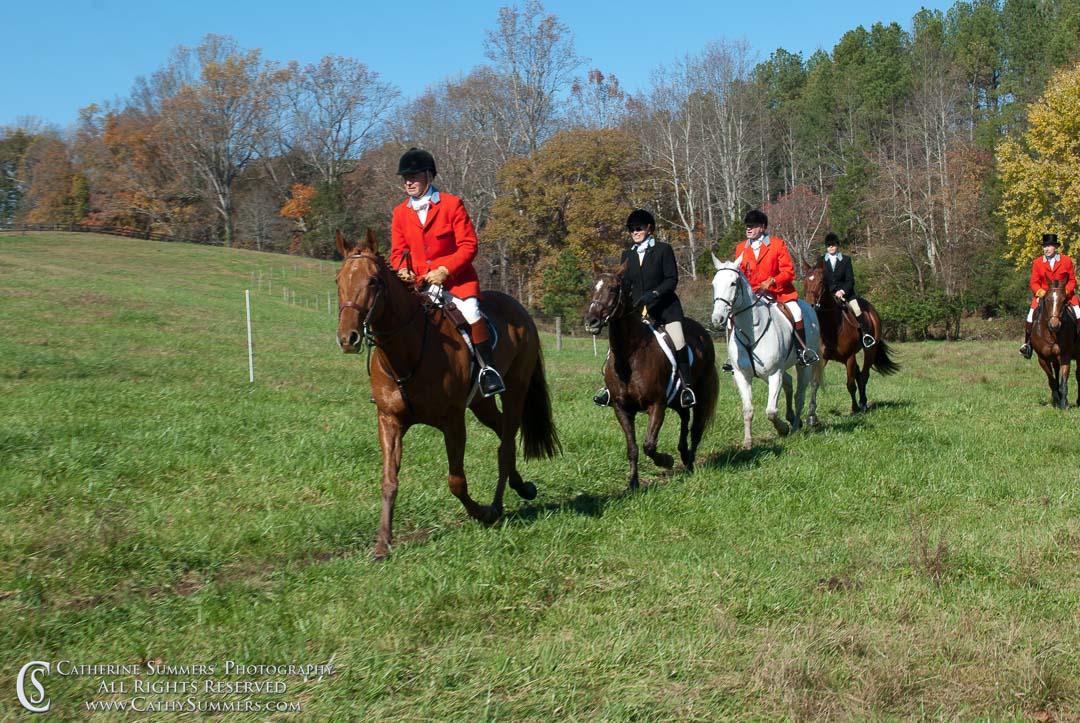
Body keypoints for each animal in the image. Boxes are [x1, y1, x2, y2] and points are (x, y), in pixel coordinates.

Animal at [334, 228, 557, 557]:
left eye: (373, 281)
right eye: (338, 279)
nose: (347, 338)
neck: (407, 349)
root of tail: (518, 308)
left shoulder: (453, 422)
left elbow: (456, 481)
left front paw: (482, 513)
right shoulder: (389, 421)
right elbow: (389, 481)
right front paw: (382, 543)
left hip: (515, 390)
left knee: (505, 446)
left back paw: (497, 505)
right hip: (480, 404)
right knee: (503, 430)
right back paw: (522, 486)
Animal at [583, 260, 717, 490]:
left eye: (613, 289)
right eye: (593, 287)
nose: (591, 322)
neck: (630, 355)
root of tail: (702, 332)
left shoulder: (657, 404)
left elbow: (649, 445)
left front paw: (666, 461)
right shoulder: (622, 408)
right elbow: (633, 448)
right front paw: (633, 484)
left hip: (701, 392)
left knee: (695, 428)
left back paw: (689, 463)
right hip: (676, 399)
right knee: (684, 416)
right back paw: (683, 454)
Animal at [712, 253, 820, 445]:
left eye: (733, 283)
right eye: (714, 284)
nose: (717, 319)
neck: (752, 331)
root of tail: (808, 306)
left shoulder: (774, 373)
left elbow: (771, 411)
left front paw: (782, 428)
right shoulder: (742, 375)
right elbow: (748, 409)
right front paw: (747, 441)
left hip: (803, 366)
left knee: (799, 395)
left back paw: (795, 427)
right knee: (788, 383)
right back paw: (791, 418)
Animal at [799, 259, 898, 419]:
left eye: (821, 282)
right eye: (805, 281)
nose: (810, 306)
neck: (831, 326)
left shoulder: (849, 357)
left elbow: (850, 384)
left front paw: (855, 409)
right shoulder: (822, 358)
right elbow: (815, 383)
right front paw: (811, 416)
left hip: (869, 350)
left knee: (863, 375)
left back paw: (863, 404)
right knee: (859, 374)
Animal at [1028, 278, 1080, 408]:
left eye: (1064, 300)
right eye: (1047, 299)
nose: (1054, 325)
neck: (1051, 334)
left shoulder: (1065, 356)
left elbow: (1063, 382)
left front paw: (1063, 403)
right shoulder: (1042, 358)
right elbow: (1052, 381)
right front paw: (1057, 399)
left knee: (1078, 375)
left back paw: (1078, 401)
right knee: (1056, 371)